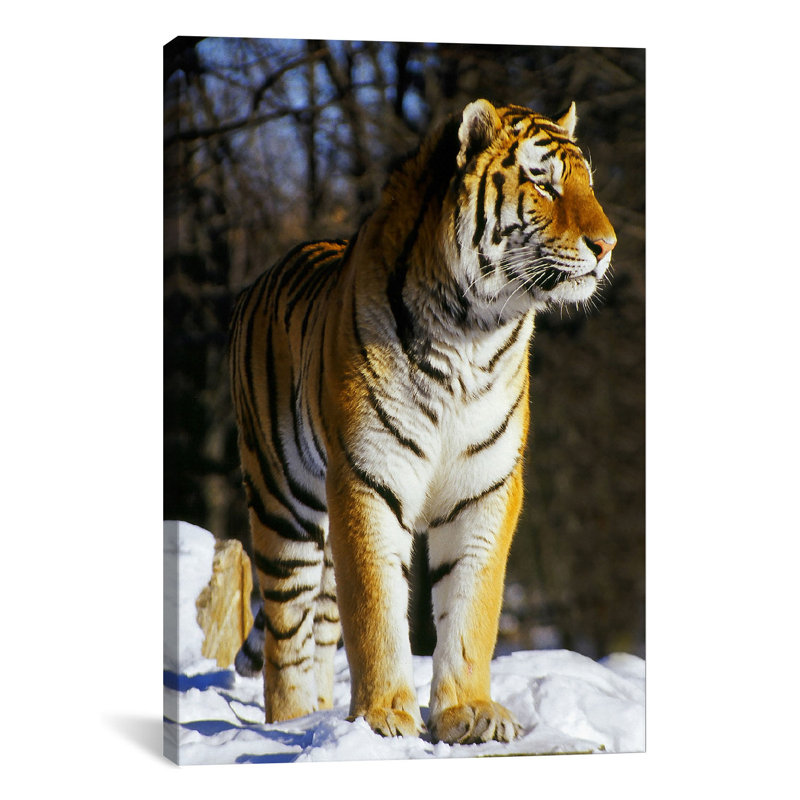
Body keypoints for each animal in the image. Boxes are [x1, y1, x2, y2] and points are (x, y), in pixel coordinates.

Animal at [229, 98, 616, 745]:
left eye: (588, 182)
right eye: (543, 183)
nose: (607, 245)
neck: (473, 333)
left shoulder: (486, 485)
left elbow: (471, 607)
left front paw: (469, 712)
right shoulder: (366, 476)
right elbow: (377, 608)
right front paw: (385, 716)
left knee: (323, 624)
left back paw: (321, 716)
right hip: (283, 506)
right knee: (286, 632)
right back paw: (292, 723)